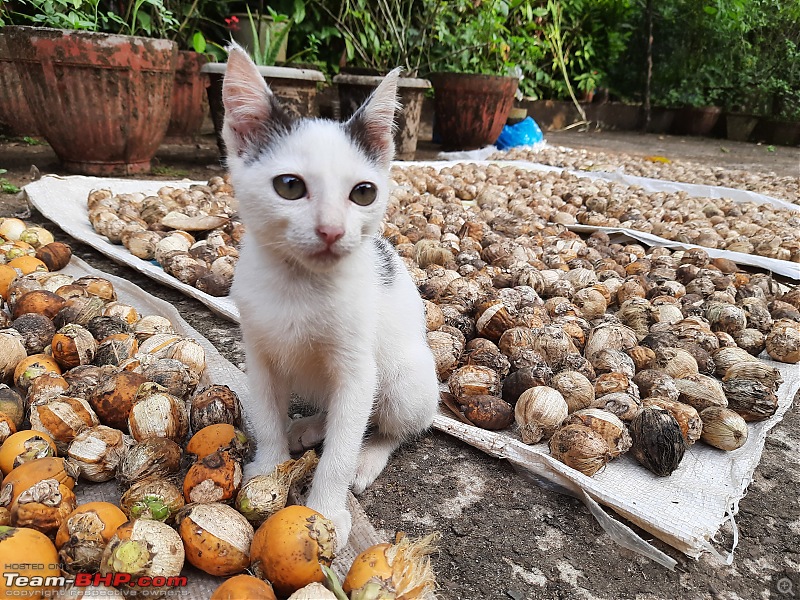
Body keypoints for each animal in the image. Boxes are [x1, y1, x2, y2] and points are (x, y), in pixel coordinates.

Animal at [222, 48, 440, 544]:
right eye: (289, 186)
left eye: (364, 193)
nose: (332, 230)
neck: (298, 283)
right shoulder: (257, 352)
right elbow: (267, 413)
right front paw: (270, 466)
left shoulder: (358, 366)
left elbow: (342, 446)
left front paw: (323, 511)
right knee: (344, 412)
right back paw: (309, 425)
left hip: (405, 380)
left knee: (387, 423)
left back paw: (369, 455)